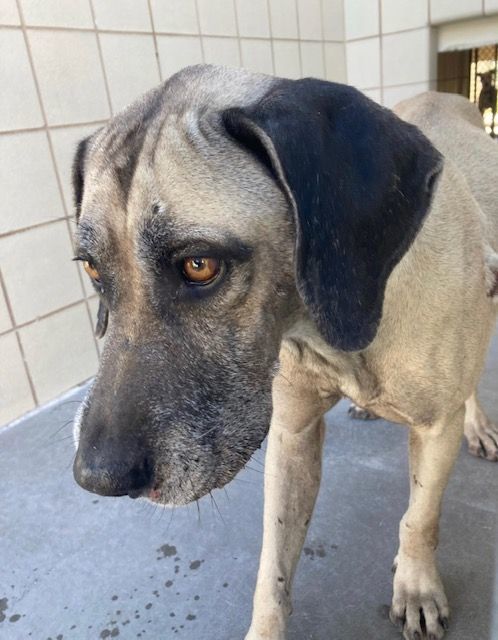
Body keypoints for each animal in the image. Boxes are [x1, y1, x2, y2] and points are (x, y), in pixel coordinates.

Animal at [71, 63, 498, 640]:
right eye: (93, 270)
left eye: (200, 265)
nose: (96, 478)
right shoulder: (291, 434)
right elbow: (273, 567)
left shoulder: (434, 429)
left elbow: (420, 515)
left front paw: (415, 585)